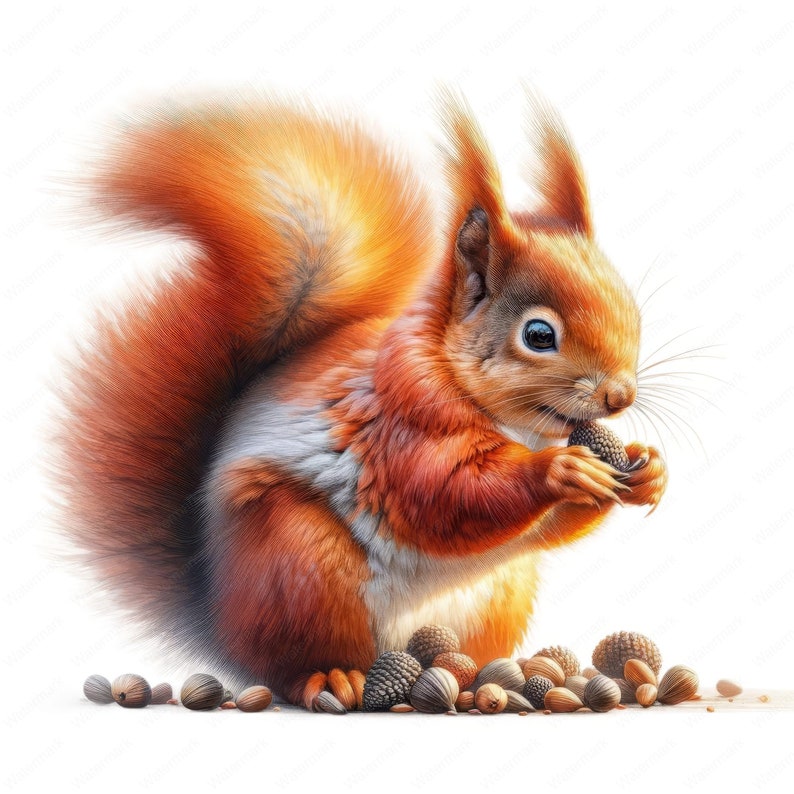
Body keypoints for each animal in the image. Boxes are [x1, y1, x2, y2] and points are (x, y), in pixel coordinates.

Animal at [55, 90, 667, 709]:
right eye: (539, 335)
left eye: (632, 310)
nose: (620, 395)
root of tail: (221, 619)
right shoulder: (402, 420)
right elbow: (443, 493)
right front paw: (561, 470)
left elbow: (545, 528)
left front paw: (648, 470)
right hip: (299, 565)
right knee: (291, 661)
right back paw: (332, 677)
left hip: (502, 592)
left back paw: (485, 676)